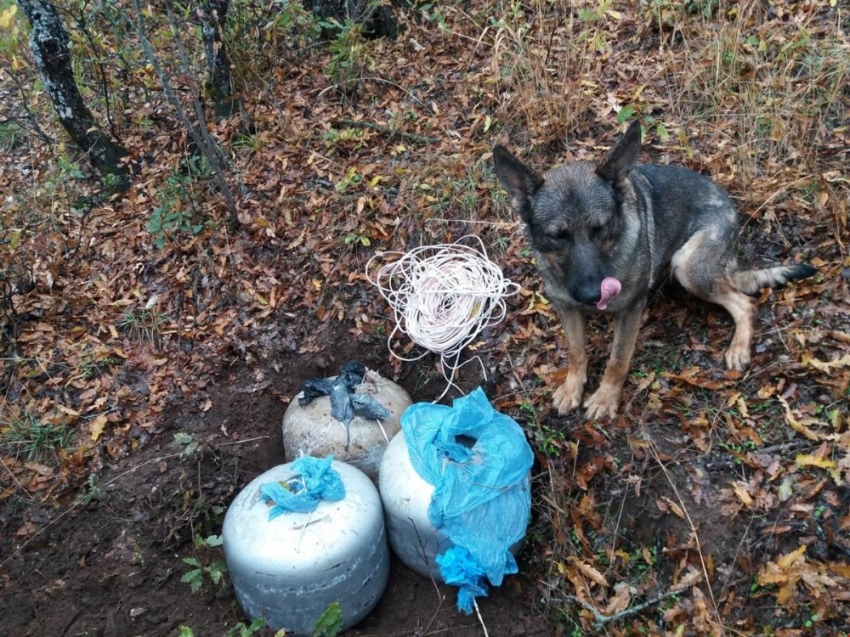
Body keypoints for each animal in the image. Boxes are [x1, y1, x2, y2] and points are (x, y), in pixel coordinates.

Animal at [490, 121, 816, 420]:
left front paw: (605, 398)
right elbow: (576, 352)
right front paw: (573, 388)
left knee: (745, 303)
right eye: (559, 236)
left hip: (688, 266)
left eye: (601, 228)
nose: (591, 294)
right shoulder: (567, 309)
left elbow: (617, 360)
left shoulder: (630, 311)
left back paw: (738, 347)